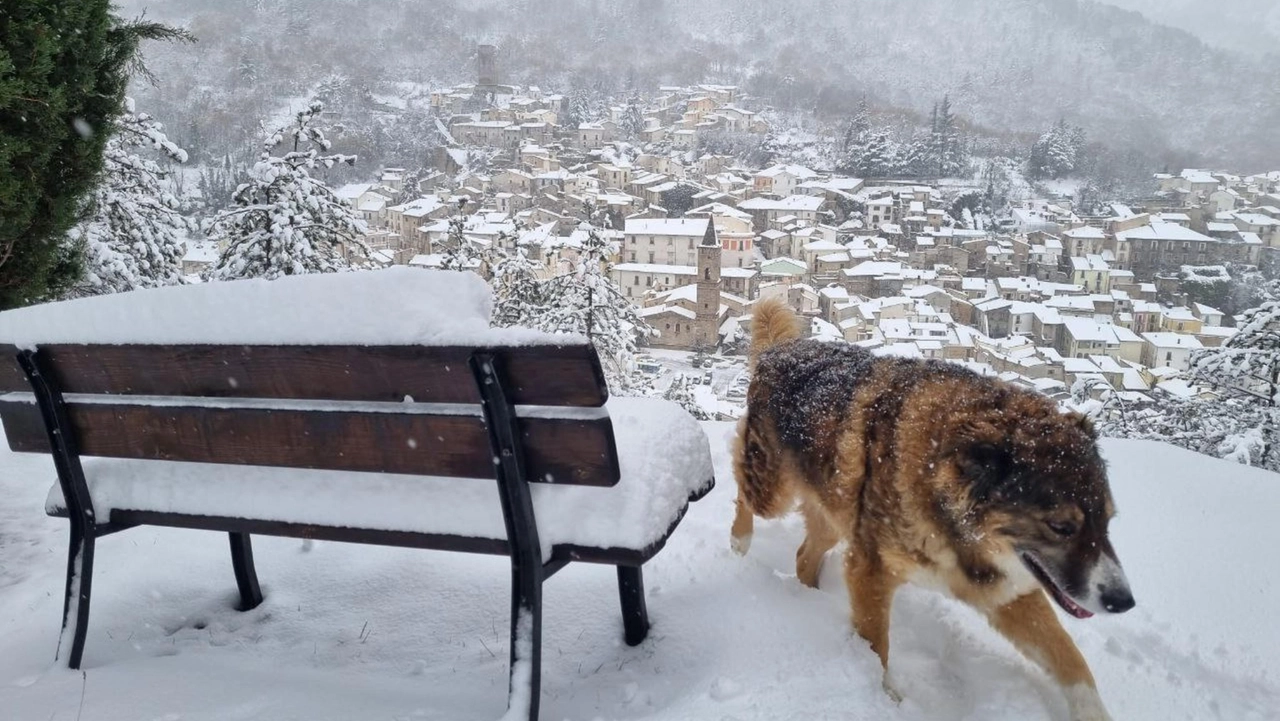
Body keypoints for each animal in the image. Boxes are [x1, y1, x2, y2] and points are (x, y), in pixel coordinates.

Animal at [737, 295, 1136, 717]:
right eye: (1061, 527)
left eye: (1108, 522)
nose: (1123, 601)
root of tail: (782, 349)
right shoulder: (870, 569)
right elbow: (876, 647)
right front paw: (883, 700)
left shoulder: (1007, 592)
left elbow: (1071, 660)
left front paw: (1094, 714)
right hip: (771, 489)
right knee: (743, 491)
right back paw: (739, 541)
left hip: (835, 511)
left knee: (804, 555)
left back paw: (811, 598)